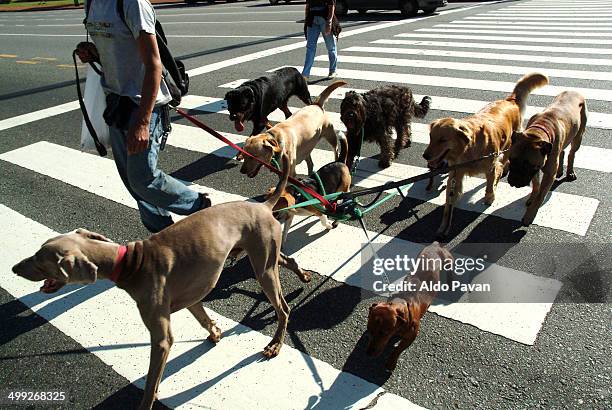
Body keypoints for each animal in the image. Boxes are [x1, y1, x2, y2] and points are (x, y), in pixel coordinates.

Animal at [10, 155, 316, 410]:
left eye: (40, 260)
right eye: (38, 252)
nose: (13, 268)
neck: (130, 263)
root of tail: (264, 204)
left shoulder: (161, 339)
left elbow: (150, 381)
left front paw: (147, 401)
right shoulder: (191, 299)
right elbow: (204, 318)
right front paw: (215, 332)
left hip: (262, 268)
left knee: (284, 308)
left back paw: (275, 344)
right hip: (262, 254)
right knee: (286, 259)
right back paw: (302, 275)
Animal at [366, 243, 452, 372]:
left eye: (384, 333)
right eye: (369, 330)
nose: (368, 354)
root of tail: (435, 245)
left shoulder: (412, 336)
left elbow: (398, 349)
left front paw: (391, 363)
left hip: (447, 258)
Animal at [420, 73, 548, 237]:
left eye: (443, 140)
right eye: (431, 137)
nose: (425, 156)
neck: (468, 150)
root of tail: (510, 100)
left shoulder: (490, 166)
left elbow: (489, 184)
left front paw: (489, 197)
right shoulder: (455, 174)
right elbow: (449, 203)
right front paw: (444, 226)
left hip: (511, 143)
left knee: (503, 162)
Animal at [506, 90, 588, 226]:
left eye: (527, 165)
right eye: (511, 160)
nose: (513, 181)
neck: (537, 132)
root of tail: (575, 91)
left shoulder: (547, 174)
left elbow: (540, 195)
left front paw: (530, 215)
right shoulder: (536, 169)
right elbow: (536, 185)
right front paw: (532, 197)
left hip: (578, 136)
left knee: (571, 153)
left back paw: (570, 172)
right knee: (562, 152)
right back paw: (560, 170)